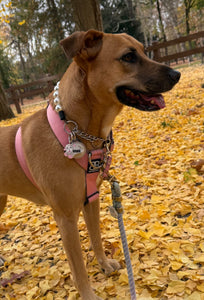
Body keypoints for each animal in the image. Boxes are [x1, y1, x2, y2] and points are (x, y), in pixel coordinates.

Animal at [0, 29, 179, 298]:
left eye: (144, 51)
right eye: (128, 56)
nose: (176, 74)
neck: (76, 130)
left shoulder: (91, 200)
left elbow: (96, 238)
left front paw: (103, 264)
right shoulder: (65, 218)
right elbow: (79, 269)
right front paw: (88, 294)